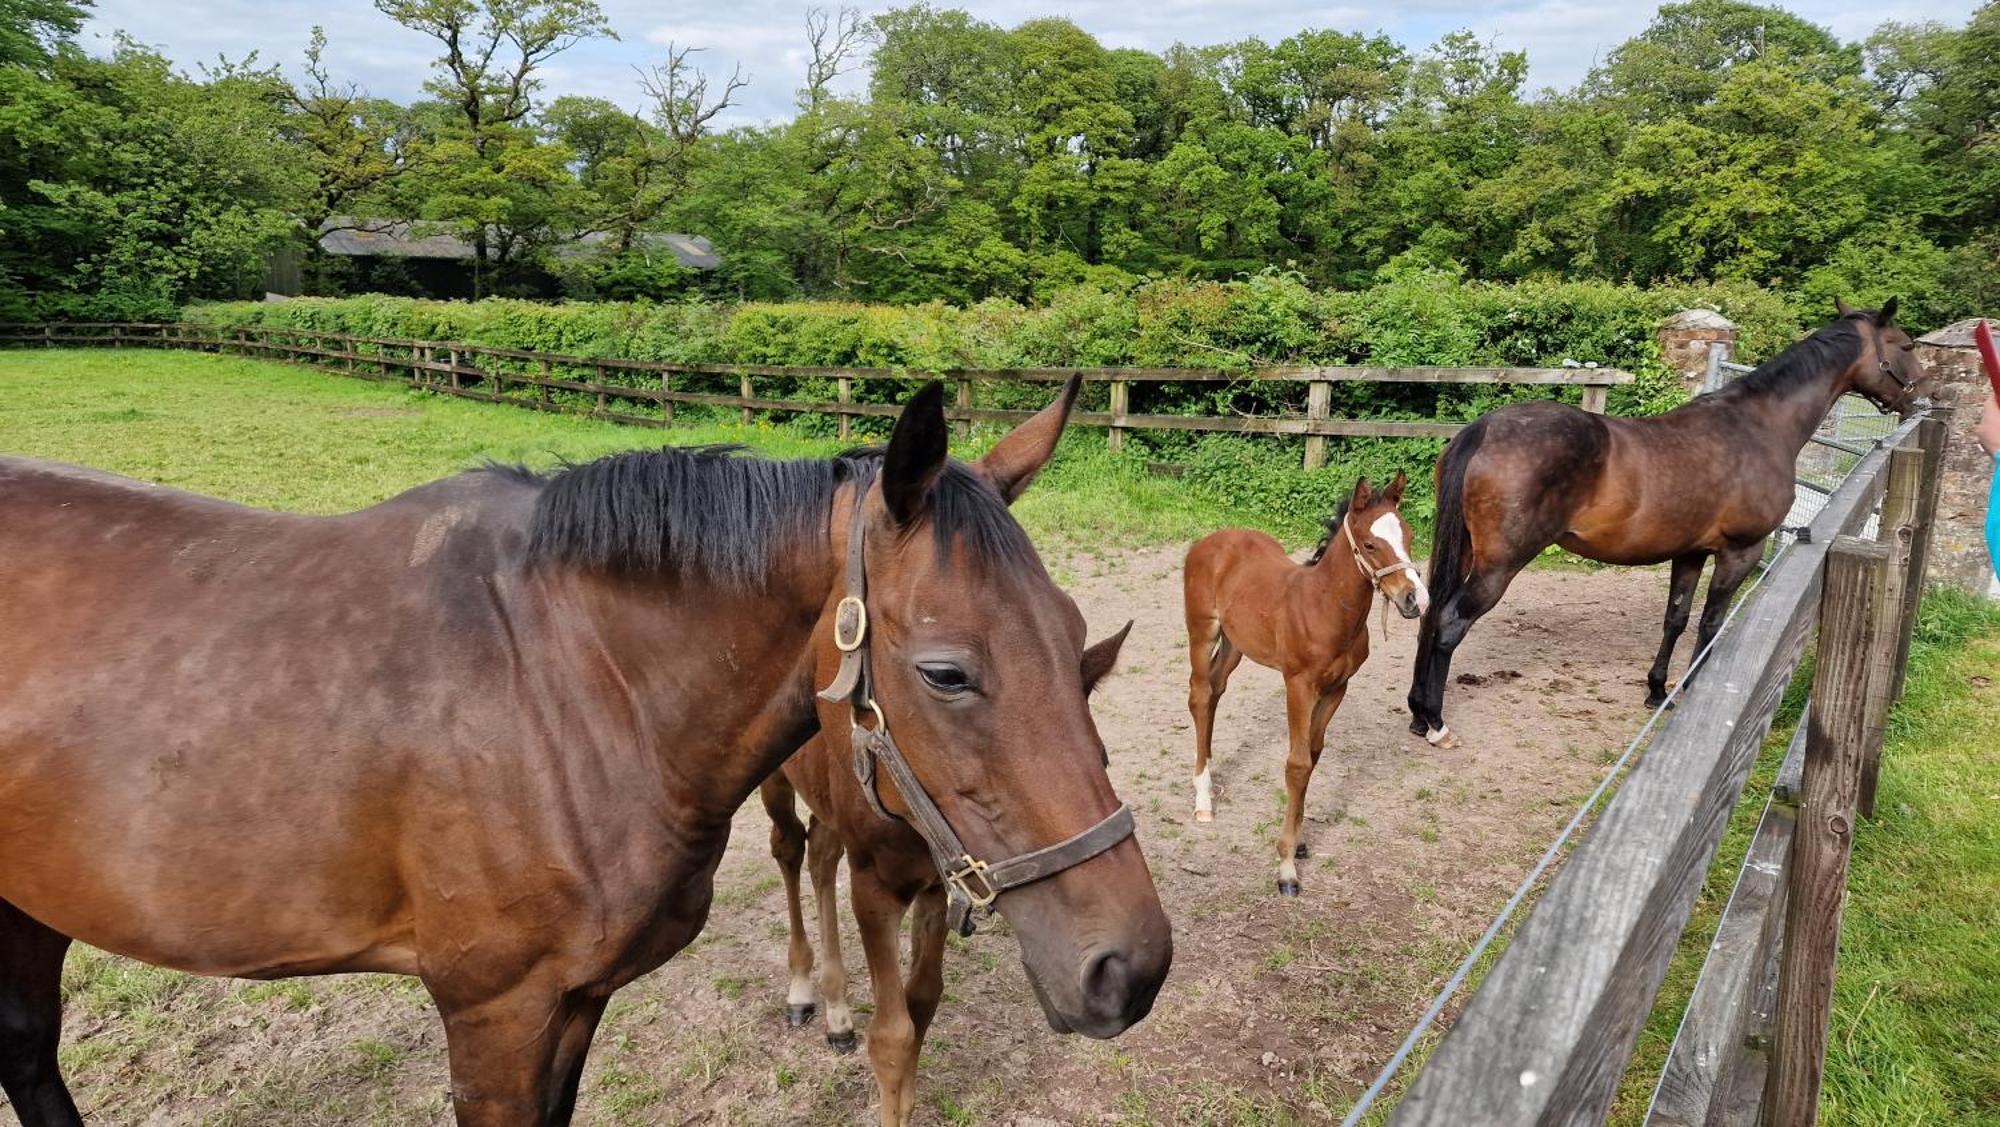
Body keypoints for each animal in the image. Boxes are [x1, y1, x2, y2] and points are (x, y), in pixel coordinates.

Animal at [752, 615, 1128, 1127]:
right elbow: (892, 1035)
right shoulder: (873, 887)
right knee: (789, 849)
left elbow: (924, 1001)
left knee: (821, 855)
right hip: (775, 779)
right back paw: (801, 991)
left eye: (1103, 758)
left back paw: (838, 1015)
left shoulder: (935, 884)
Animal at [1176, 475, 1432, 899]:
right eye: (1370, 544)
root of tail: (1212, 539)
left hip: (1236, 643)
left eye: (1409, 536)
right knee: (1199, 694)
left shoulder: (1338, 687)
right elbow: (1296, 764)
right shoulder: (1298, 684)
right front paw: (1285, 868)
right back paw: (1202, 799)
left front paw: (1298, 842)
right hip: (1202, 630)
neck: (1325, 608)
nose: (1416, 599)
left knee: (1215, 689)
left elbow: (1313, 754)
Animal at [1408, 303, 1936, 751]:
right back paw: (1435, 721)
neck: (1759, 426)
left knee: (1431, 617)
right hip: (1499, 565)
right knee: (1450, 624)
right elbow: (1710, 624)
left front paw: (1658, 689)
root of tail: (1486, 429)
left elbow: (1676, 618)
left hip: (1467, 552)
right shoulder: (1740, 551)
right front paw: (1692, 688)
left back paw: (1416, 711)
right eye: (1906, 345)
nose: (1928, 397)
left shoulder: (1691, 552)